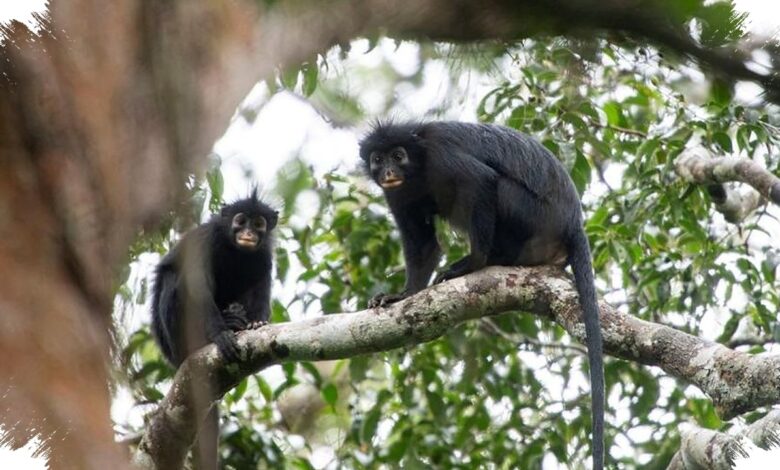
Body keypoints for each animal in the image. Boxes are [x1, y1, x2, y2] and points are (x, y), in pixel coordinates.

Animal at [151, 189, 278, 470]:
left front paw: (256, 324)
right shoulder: (205, 241)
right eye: (240, 220)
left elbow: (261, 285)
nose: (248, 233)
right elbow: (197, 287)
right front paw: (221, 335)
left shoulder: (264, 256)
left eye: (259, 224)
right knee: (175, 279)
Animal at [359, 121, 605, 470]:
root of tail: (573, 223)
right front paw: (402, 296)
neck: (418, 166)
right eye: (378, 159)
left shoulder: (441, 154)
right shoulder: (396, 192)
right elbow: (423, 244)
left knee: (497, 186)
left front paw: (474, 263)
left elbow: (481, 181)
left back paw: (489, 259)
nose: (389, 170)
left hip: (533, 215)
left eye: (398, 155)